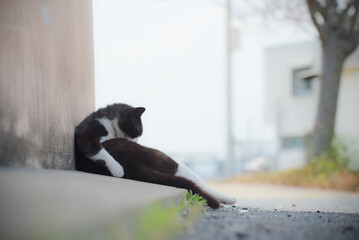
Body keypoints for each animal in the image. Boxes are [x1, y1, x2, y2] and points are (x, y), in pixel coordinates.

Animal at [74, 103, 236, 208]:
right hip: (169, 161)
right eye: (137, 132)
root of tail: (134, 167)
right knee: (197, 181)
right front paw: (117, 169)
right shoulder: (87, 134)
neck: (108, 123)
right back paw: (227, 199)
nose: (137, 141)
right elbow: (94, 148)